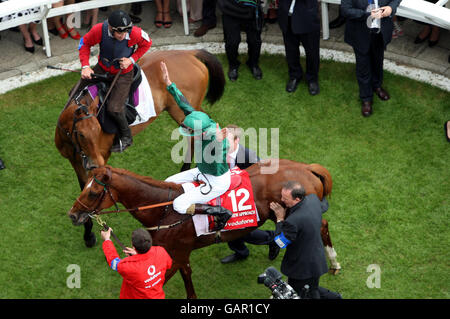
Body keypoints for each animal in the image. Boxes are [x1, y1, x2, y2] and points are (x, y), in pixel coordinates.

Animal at [56, 49, 225, 248]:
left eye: (98, 130)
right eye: (81, 134)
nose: (95, 163)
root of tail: (190, 52)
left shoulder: (100, 157)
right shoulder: (74, 160)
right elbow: (83, 185)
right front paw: (87, 231)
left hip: (183, 112)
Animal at [67, 160, 342, 300]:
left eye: (93, 192)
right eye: (84, 186)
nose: (73, 215)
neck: (164, 207)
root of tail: (305, 168)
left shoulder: (177, 253)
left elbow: (164, 280)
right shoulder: (179, 253)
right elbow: (186, 275)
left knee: (321, 225)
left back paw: (333, 262)